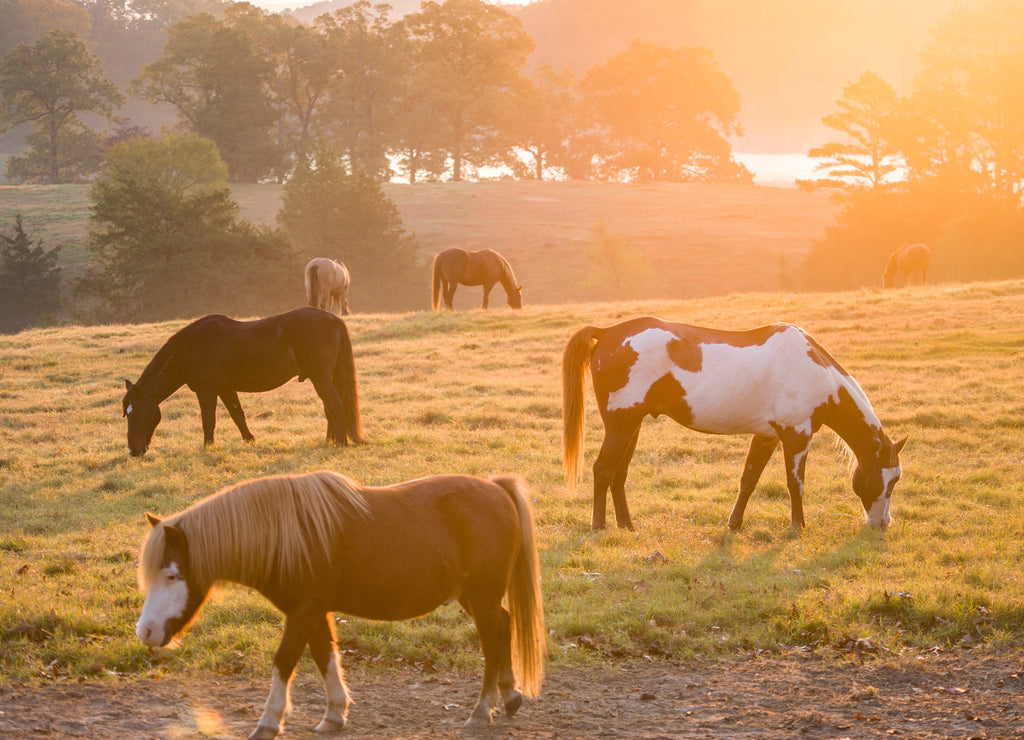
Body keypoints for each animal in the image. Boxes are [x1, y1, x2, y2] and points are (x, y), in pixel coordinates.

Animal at [121, 307, 363, 456]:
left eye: (138, 413)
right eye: (127, 412)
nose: (134, 451)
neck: (191, 348)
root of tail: (334, 319)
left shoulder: (207, 391)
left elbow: (208, 420)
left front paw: (208, 448)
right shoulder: (226, 390)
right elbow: (238, 416)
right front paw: (250, 440)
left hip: (320, 377)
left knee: (334, 404)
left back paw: (340, 442)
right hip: (323, 377)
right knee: (329, 406)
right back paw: (330, 440)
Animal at [136, 470, 545, 739]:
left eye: (171, 575)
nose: (146, 632)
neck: (290, 536)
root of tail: (495, 488)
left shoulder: (303, 612)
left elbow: (285, 660)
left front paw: (269, 721)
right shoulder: (313, 612)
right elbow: (325, 654)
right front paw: (334, 714)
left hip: (482, 595)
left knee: (492, 640)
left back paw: (481, 710)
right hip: (474, 597)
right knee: (503, 627)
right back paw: (509, 696)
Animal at [562, 317, 907, 531]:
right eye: (889, 481)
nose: (883, 524)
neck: (814, 371)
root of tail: (607, 332)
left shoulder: (767, 436)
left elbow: (749, 480)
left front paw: (734, 524)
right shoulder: (797, 436)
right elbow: (795, 484)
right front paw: (798, 527)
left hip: (631, 427)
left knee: (618, 475)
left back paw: (626, 525)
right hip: (621, 427)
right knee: (602, 470)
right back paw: (598, 526)